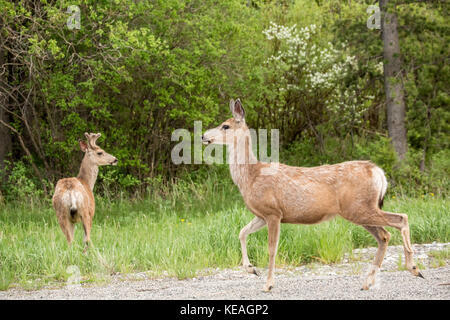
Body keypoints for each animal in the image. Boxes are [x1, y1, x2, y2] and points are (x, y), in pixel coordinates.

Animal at [202, 99, 424, 292]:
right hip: (360, 210)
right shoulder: (261, 215)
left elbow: (271, 249)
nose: (204, 136)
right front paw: (251, 269)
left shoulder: (273, 213)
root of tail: (378, 172)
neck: (251, 176)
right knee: (384, 235)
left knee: (401, 219)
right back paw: (368, 282)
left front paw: (268, 284)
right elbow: (241, 232)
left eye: (225, 126)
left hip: (360, 207)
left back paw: (413, 268)